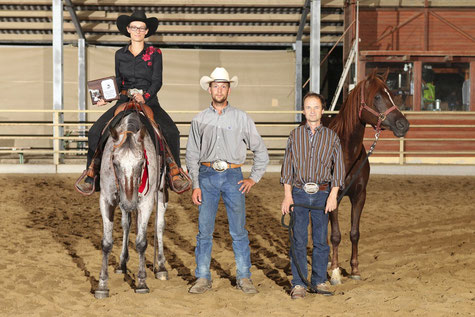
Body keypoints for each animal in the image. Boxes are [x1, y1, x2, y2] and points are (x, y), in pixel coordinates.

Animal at [94, 111, 168, 298]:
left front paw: (141, 282)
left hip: (161, 192)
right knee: (126, 225)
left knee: (159, 225)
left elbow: (141, 242)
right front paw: (102, 285)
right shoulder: (106, 200)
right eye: (114, 162)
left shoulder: (146, 203)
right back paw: (122, 264)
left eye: (142, 163)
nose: (130, 202)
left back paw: (161, 267)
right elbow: (106, 243)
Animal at [326, 72, 410, 284]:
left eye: (392, 94)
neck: (346, 154)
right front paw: (336, 273)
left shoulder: (359, 196)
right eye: (378, 96)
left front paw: (354, 269)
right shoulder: (332, 198)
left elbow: (354, 233)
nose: (404, 124)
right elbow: (335, 235)